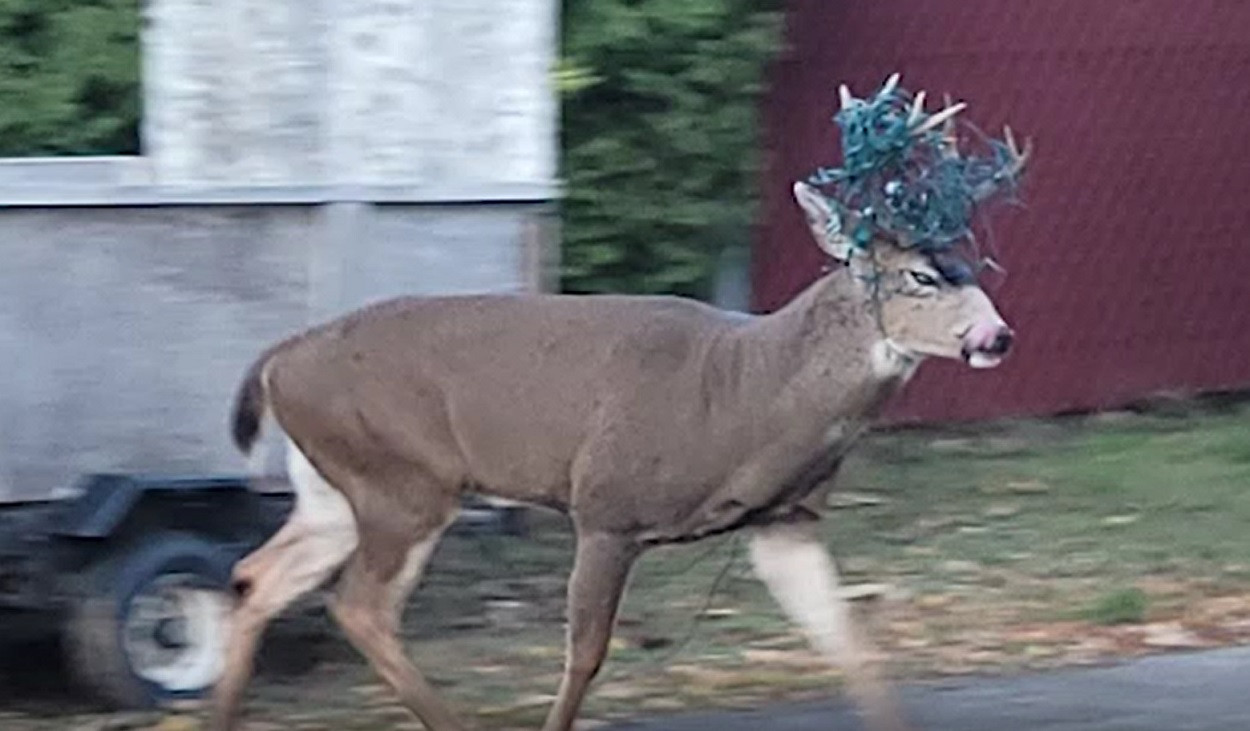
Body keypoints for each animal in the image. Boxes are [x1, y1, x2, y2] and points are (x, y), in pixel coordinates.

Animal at [208, 77, 1029, 731]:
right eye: (921, 275)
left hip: (337, 489)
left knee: (258, 575)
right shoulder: (607, 506)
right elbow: (585, 655)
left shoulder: (784, 520)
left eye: (973, 262)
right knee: (358, 606)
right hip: (402, 479)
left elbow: (847, 639)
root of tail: (280, 358)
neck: (747, 394)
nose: (998, 335)